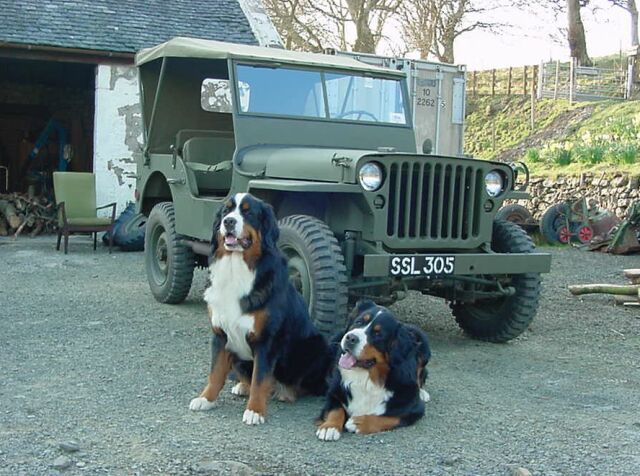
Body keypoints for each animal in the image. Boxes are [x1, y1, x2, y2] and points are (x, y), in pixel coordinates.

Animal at [189, 193, 333, 425]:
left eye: (248, 212)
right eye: (226, 211)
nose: (229, 222)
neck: (236, 268)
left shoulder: (266, 339)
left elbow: (260, 377)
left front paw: (255, 410)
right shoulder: (220, 334)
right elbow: (216, 372)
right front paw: (206, 399)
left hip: (317, 346)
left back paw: (285, 392)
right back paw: (242, 386)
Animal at [316, 299, 431, 440]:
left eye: (378, 334)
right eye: (359, 322)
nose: (350, 338)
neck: (366, 377)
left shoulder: (414, 408)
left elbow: (390, 417)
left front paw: (359, 422)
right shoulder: (334, 392)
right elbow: (335, 409)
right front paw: (330, 427)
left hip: (423, 342)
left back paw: (422, 393)